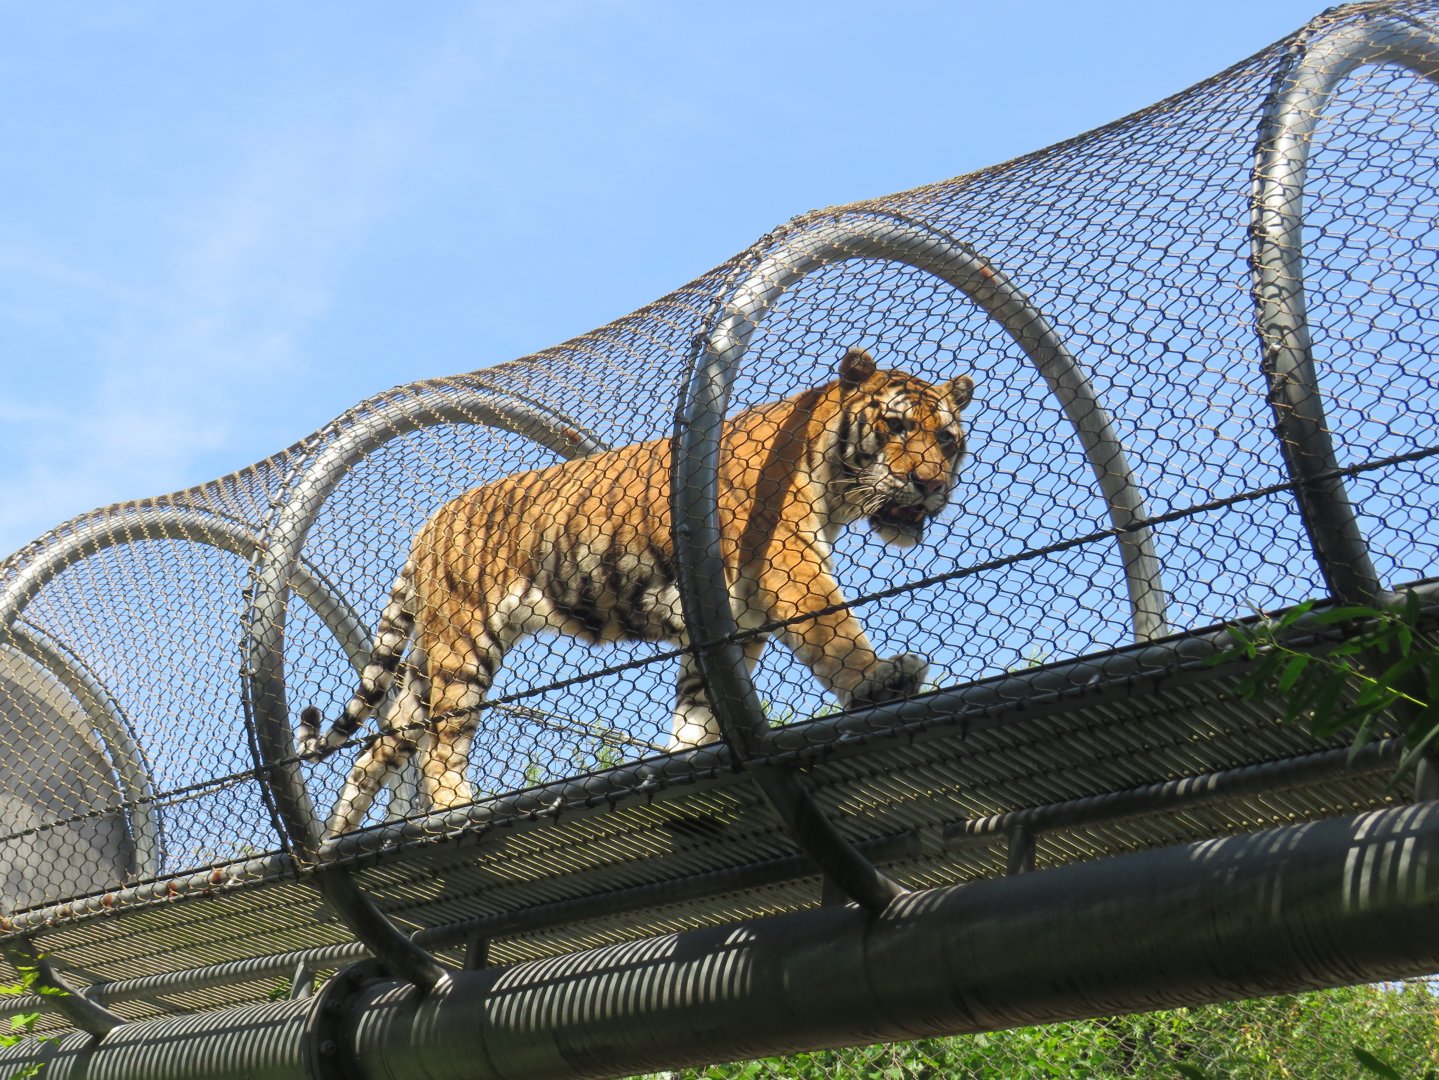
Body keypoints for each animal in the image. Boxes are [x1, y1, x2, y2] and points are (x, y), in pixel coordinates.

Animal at [298, 346, 975, 836]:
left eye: (947, 440)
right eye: (895, 426)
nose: (931, 483)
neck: (833, 483)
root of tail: (432, 523)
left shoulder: (734, 617)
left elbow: (700, 704)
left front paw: (686, 754)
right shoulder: (788, 560)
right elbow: (833, 627)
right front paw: (879, 679)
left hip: (426, 662)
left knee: (380, 747)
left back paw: (333, 835)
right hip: (464, 647)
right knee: (440, 744)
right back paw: (456, 807)